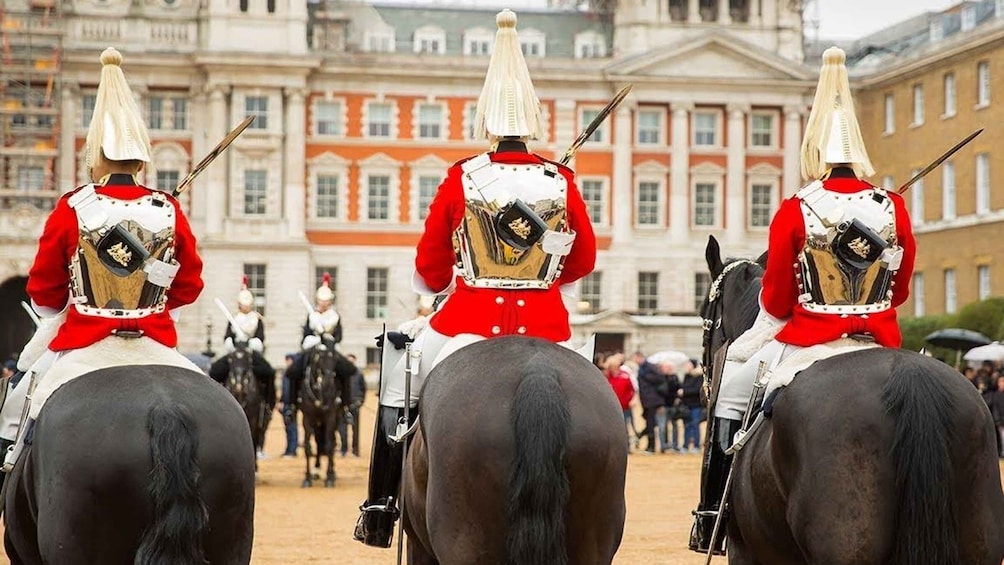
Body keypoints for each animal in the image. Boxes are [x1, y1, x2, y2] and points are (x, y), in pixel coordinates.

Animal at [295, 339, 355, 487]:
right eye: (320, 357)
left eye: (336, 358)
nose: (328, 382)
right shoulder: (307, 418)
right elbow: (307, 447)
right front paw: (307, 478)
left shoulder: (330, 418)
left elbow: (328, 445)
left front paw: (329, 477)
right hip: (318, 421)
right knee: (318, 441)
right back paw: (316, 470)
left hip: (336, 419)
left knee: (331, 443)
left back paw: (332, 472)